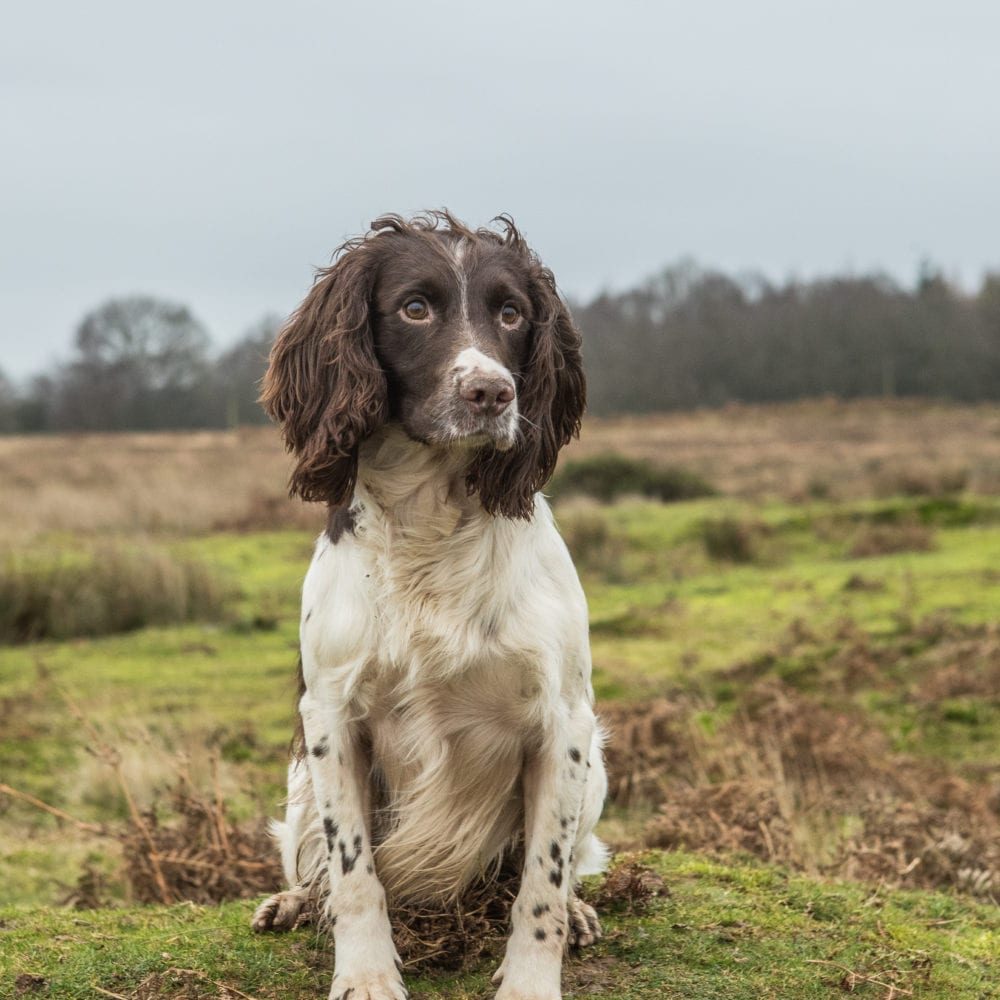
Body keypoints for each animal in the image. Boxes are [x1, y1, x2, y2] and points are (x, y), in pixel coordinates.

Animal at [254, 211, 604, 1000]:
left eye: (512, 313)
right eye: (415, 307)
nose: (493, 394)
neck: (431, 524)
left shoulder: (563, 722)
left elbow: (542, 882)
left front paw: (531, 981)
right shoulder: (330, 716)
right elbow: (354, 872)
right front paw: (365, 975)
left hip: (596, 764)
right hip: (297, 783)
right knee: (312, 862)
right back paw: (293, 902)